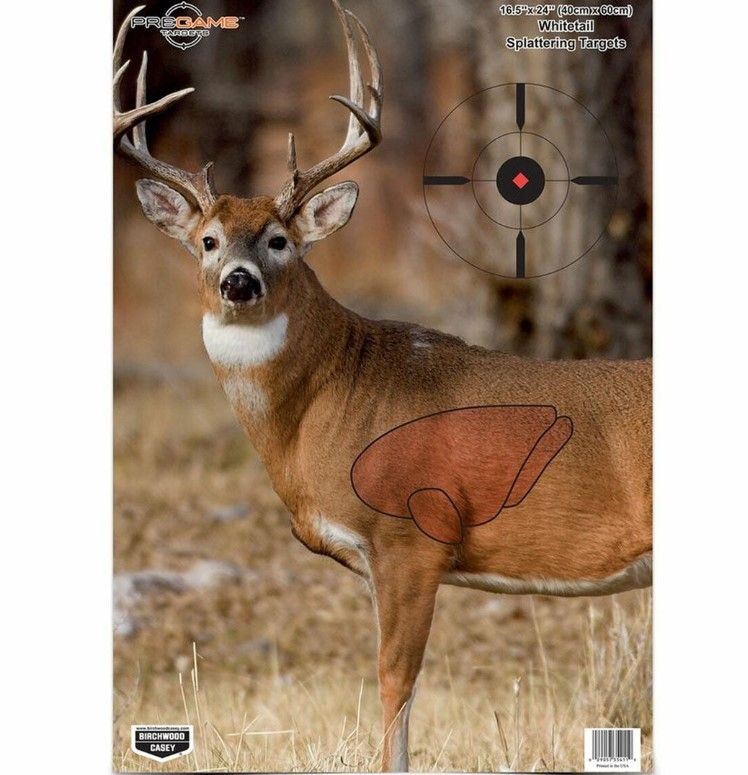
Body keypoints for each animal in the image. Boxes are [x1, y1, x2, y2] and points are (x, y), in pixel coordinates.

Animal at [114, 2, 652, 770]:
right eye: (208, 240)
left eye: (279, 239)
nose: (238, 283)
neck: (328, 403)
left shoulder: (410, 535)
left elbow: (395, 682)